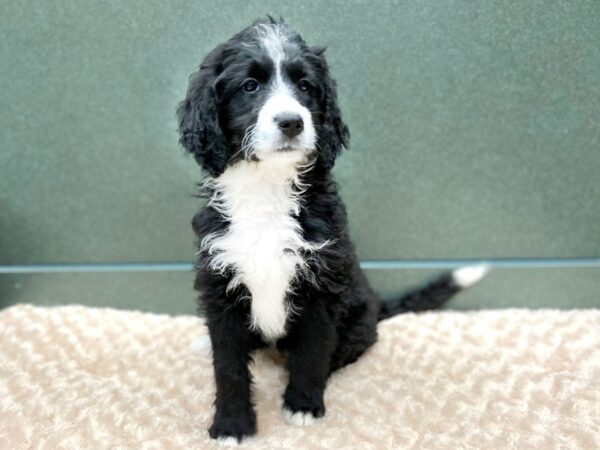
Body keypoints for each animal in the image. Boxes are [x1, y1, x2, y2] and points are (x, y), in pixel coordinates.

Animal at [177, 16, 488, 442]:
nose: (292, 121)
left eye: (306, 86)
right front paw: (232, 425)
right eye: (250, 85)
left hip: (356, 319)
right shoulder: (219, 280)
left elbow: (312, 351)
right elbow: (228, 365)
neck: (268, 187)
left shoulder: (322, 286)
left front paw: (303, 405)